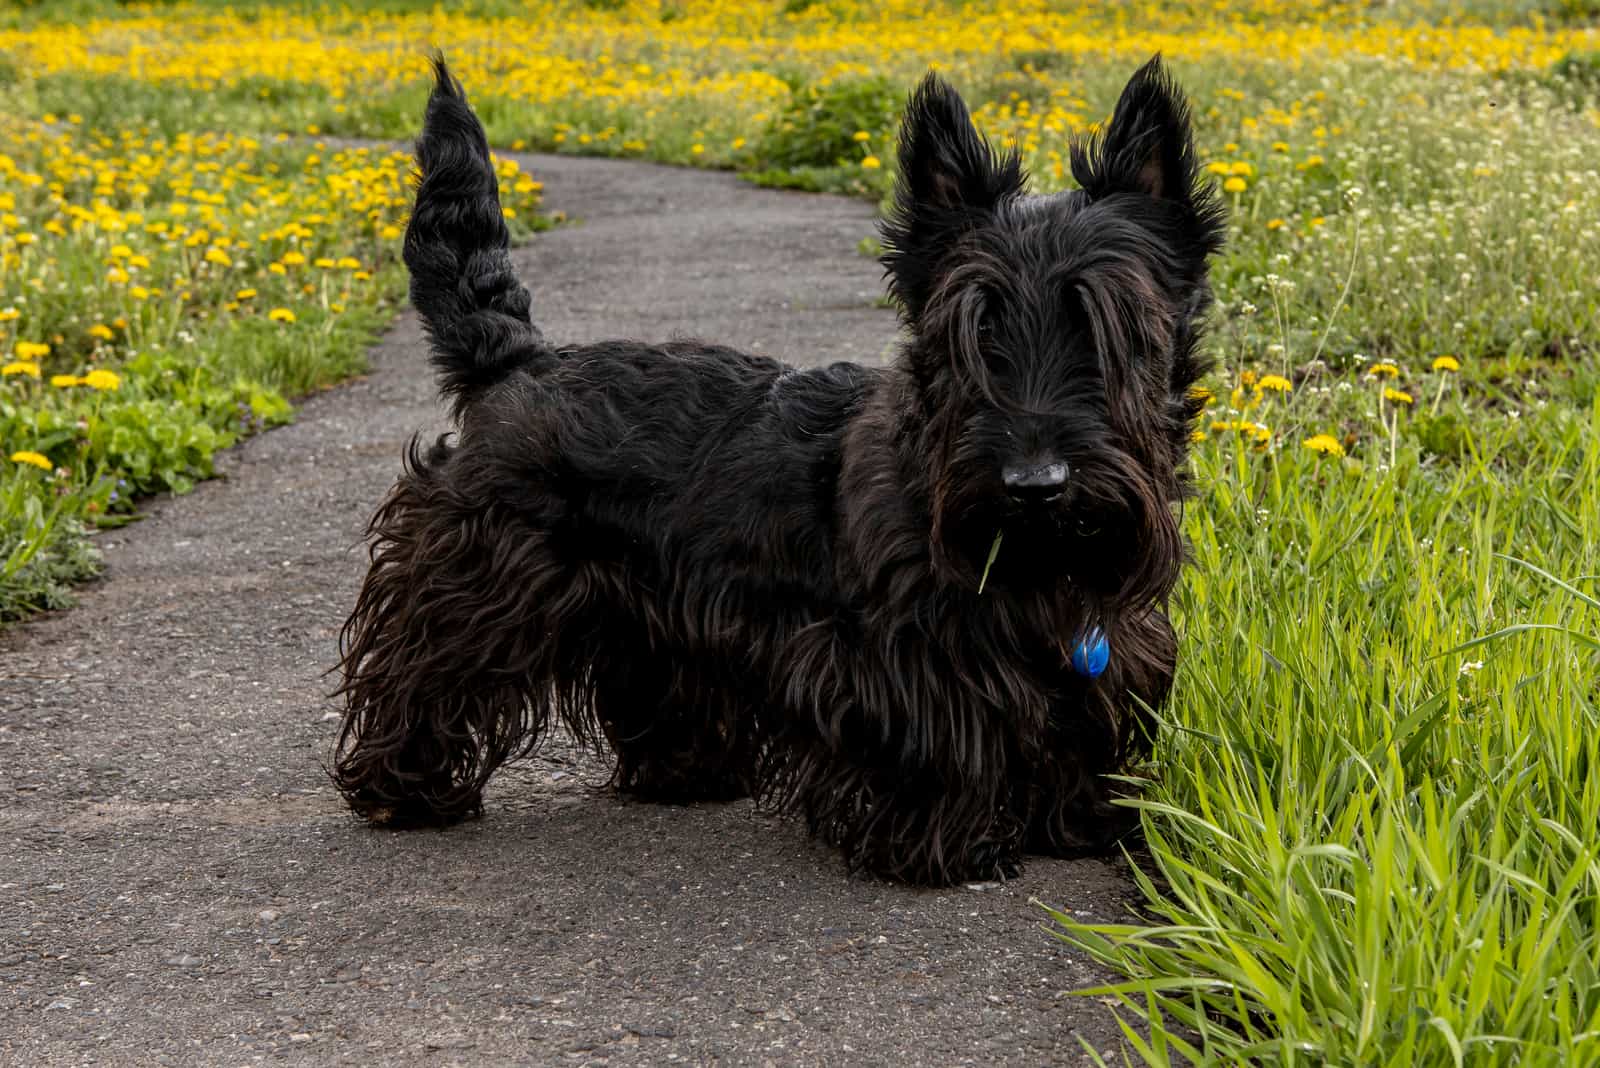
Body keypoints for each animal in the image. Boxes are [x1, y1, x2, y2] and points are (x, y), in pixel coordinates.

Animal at [331, 56, 1216, 882]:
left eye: (1111, 327)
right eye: (972, 329)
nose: (1035, 487)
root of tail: (521, 362)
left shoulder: (1098, 649)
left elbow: (1078, 733)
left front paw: (1085, 821)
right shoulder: (900, 660)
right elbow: (941, 747)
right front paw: (943, 844)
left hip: (641, 611)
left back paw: (685, 772)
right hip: (479, 579)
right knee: (423, 670)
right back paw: (403, 788)